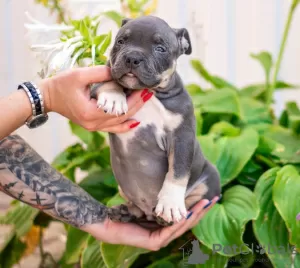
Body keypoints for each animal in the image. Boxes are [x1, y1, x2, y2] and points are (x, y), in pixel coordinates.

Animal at [90, 15, 221, 227]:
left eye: (160, 49)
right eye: (121, 41)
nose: (132, 57)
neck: (149, 91)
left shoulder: (181, 137)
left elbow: (177, 172)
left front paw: (170, 204)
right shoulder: (105, 73)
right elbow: (109, 81)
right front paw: (113, 97)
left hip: (211, 179)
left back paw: (166, 218)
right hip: (122, 190)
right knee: (137, 210)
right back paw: (125, 212)